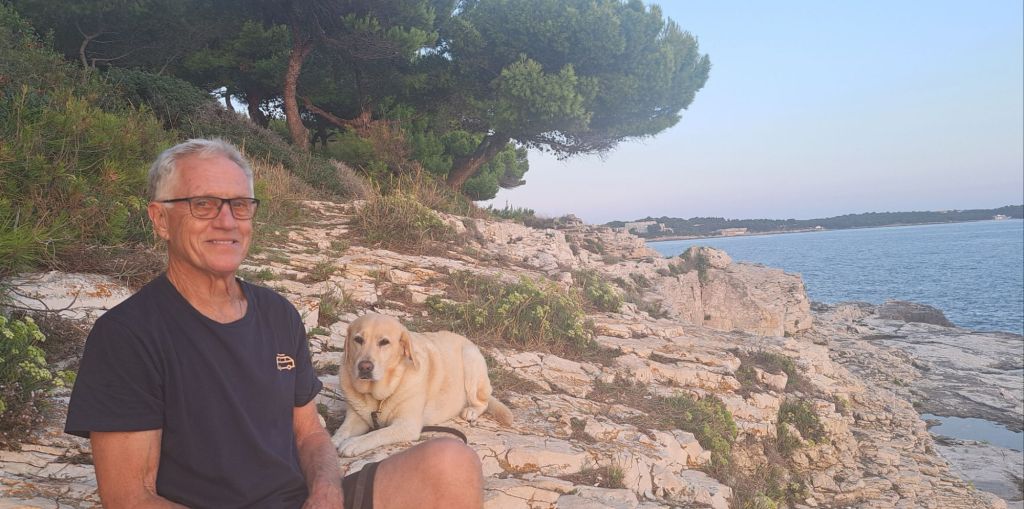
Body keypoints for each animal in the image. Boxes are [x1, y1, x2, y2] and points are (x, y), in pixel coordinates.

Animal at [331, 313, 513, 457]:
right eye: (358, 340)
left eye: (384, 342)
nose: (364, 367)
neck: (380, 395)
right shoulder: (356, 418)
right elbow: (342, 432)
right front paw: (333, 442)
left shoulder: (407, 424)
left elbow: (377, 433)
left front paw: (354, 443)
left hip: (470, 360)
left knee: (483, 401)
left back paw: (471, 411)